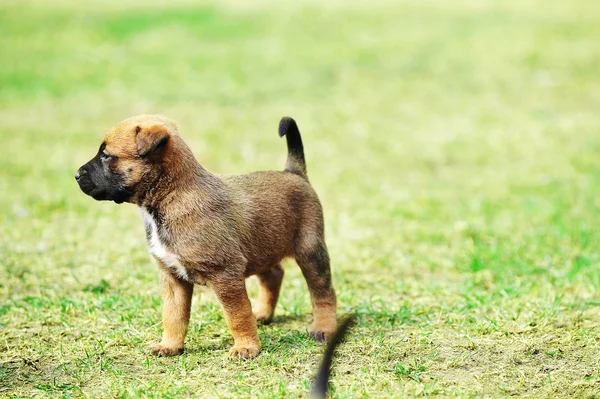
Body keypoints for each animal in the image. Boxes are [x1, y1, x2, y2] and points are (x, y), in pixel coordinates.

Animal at [74, 115, 338, 360]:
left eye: (106, 155)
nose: (76, 175)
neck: (171, 197)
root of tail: (294, 172)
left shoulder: (226, 275)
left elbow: (237, 315)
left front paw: (246, 347)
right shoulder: (172, 278)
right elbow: (173, 315)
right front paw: (170, 345)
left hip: (310, 251)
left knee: (323, 293)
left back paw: (323, 328)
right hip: (261, 245)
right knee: (273, 275)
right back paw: (262, 313)